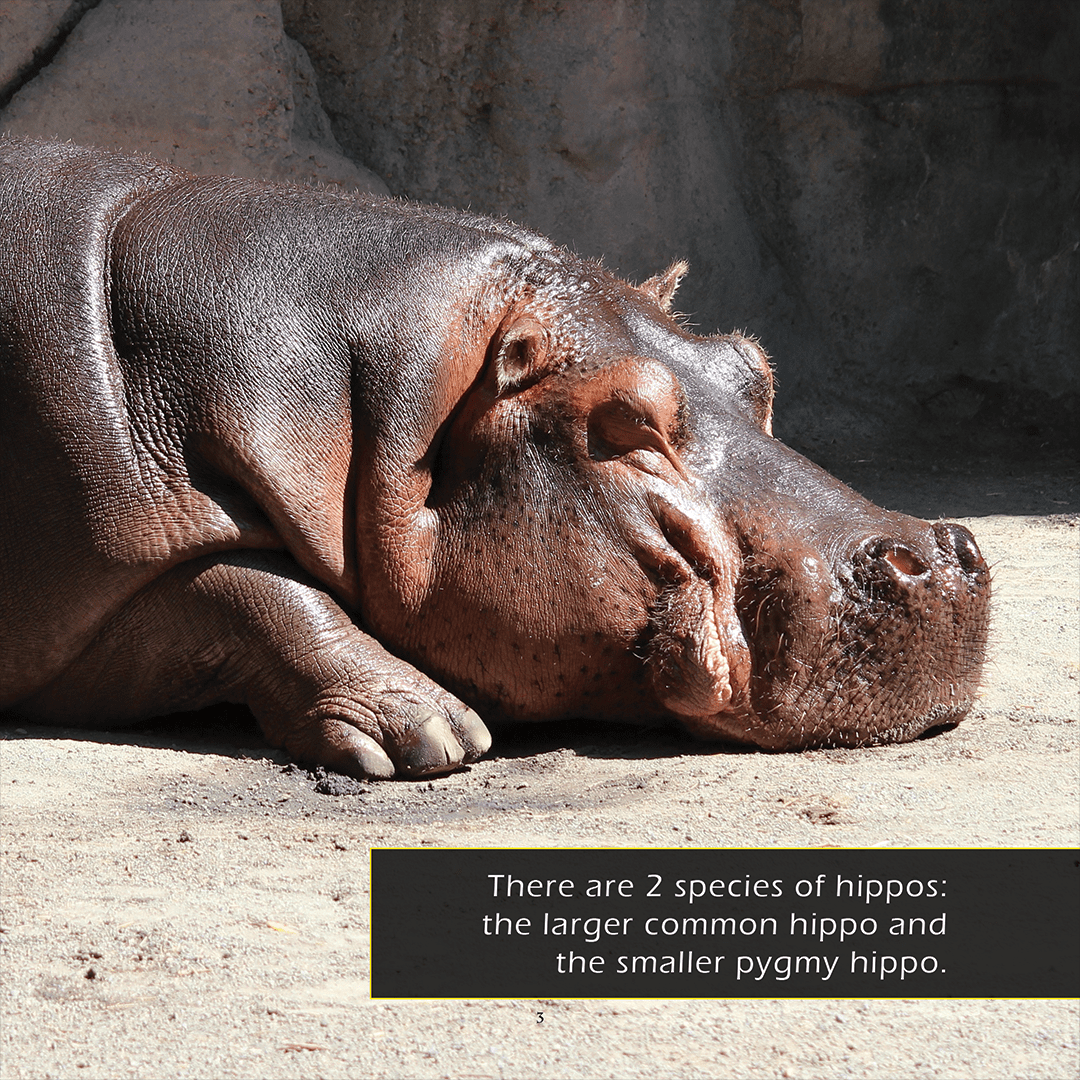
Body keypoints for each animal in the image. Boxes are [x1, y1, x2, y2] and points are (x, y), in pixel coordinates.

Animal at [0, 138, 990, 779]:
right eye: (629, 422)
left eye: (754, 367)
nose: (938, 554)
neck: (385, 411)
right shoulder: (86, 601)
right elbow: (246, 587)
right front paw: (434, 734)